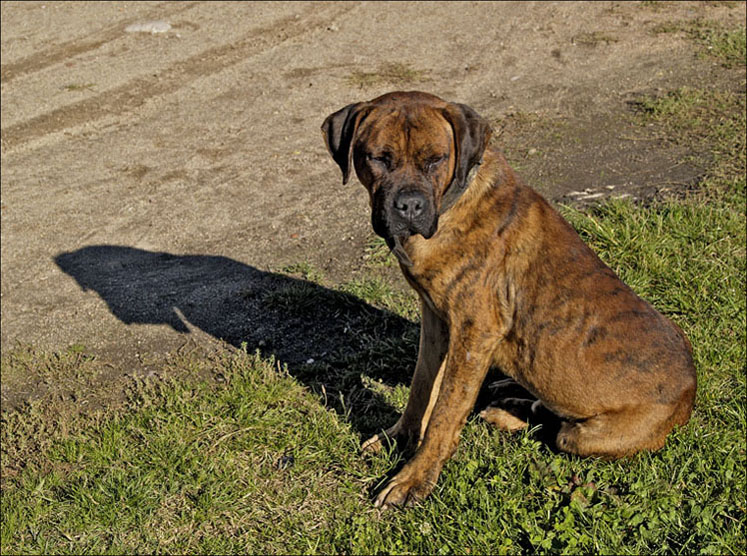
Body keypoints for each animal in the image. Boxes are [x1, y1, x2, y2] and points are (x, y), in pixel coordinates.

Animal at [320, 90, 696, 508]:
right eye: (377, 158)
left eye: (436, 159)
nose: (409, 206)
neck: (453, 203)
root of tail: (691, 389)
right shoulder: (436, 322)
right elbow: (421, 387)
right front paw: (399, 438)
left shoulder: (474, 333)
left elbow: (445, 411)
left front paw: (414, 479)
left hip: (585, 436)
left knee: (558, 430)